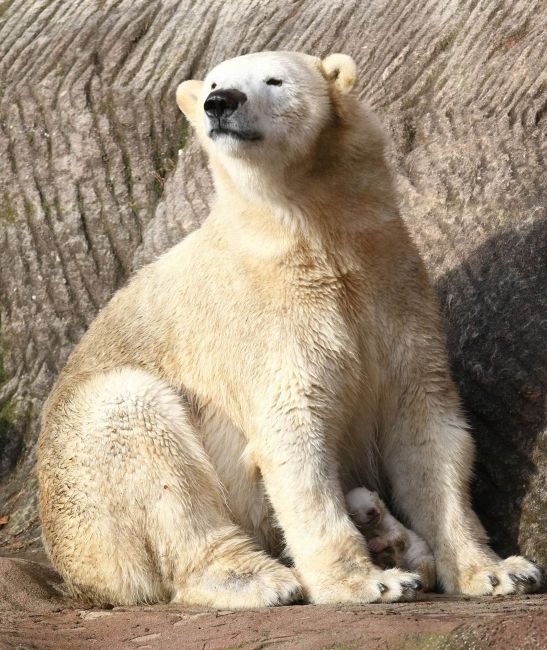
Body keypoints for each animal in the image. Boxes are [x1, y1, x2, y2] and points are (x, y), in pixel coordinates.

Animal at [36, 50, 540, 608]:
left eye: (274, 80)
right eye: (213, 82)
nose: (220, 103)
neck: (313, 239)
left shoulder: (396, 291)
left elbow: (427, 428)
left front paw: (497, 571)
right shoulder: (269, 321)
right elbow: (294, 432)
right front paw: (366, 582)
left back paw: (391, 539)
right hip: (87, 495)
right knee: (138, 429)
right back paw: (264, 577)